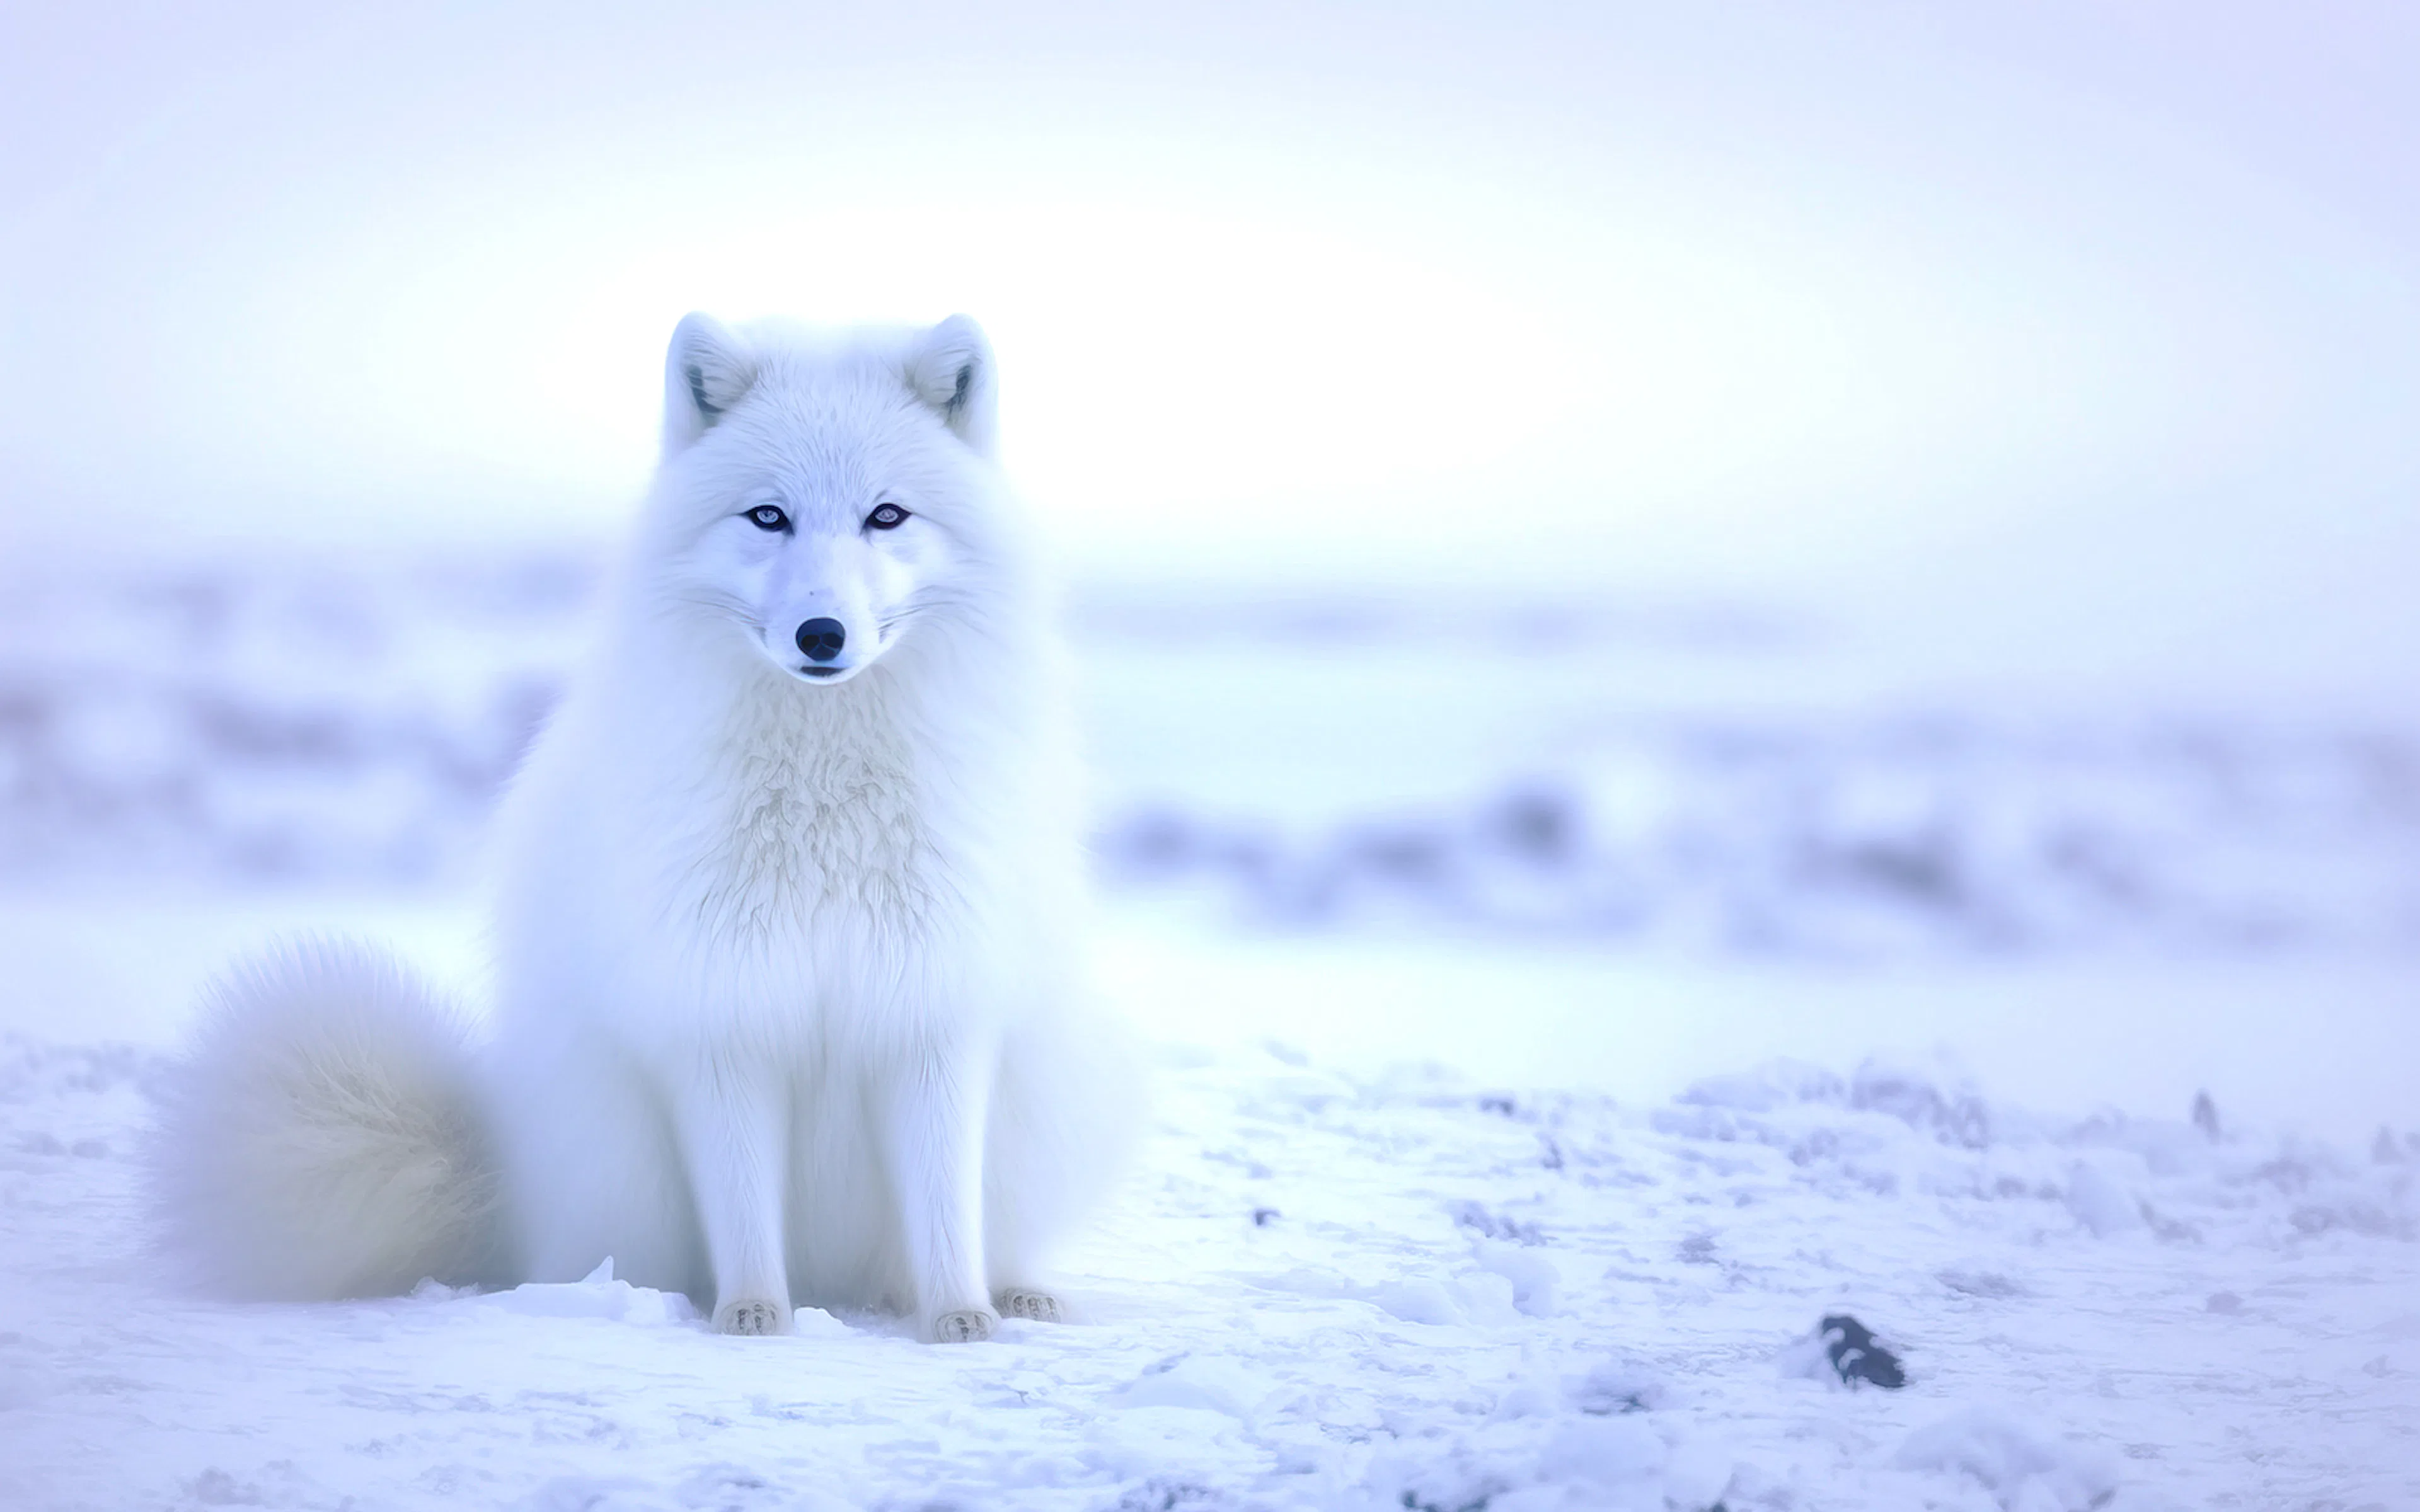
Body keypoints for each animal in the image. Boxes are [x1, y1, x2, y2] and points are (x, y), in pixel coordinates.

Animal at [149, 313, 1141, 1342]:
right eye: (768, 517)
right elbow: (741, 1205)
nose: (821, 635)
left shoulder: (935, 1008)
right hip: (617, 1160)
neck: (823, 804)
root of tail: (510, 1190)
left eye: (888, 516)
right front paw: (753, 1315)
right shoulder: (715, 1017)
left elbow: (946, 1204)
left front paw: (960, 1317)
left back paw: (1016, 1291)